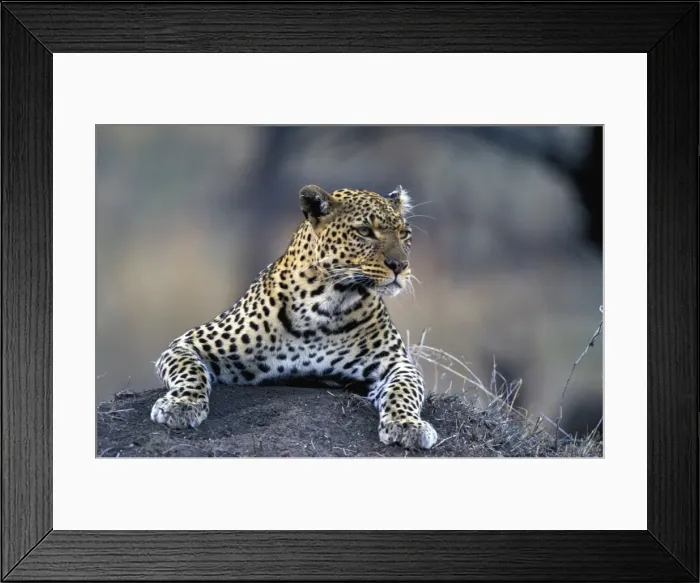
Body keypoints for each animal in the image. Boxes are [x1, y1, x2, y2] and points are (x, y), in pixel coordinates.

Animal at [150, 185, 438, 449]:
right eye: (365, 231)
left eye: (404, 233)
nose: (400, 266)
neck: (328, 305)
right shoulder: (189, 343)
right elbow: (190, 370)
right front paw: (181, 404)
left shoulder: (397, 364)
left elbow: (404, 391)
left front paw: (407, 425)